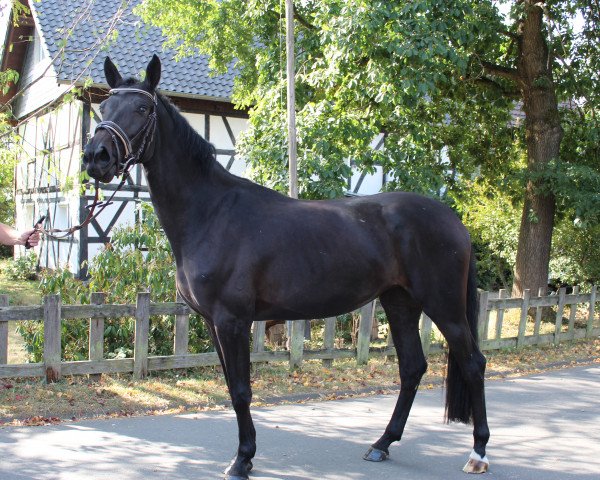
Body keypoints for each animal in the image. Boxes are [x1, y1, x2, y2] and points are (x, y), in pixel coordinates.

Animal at [82, 55, 490, 476]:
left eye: (142, 108)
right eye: (104, 107)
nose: (97, 157)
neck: (211, 212)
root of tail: (455, 220)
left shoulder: (232, 320)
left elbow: (242, 391)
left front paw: (242, 460)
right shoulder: (212, 322)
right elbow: (232, 387)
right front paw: (245, 454)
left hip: (444, 307)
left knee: (473, 363)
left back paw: (477, 453)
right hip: (399, 302)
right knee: (412, 367)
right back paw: (382, 444)